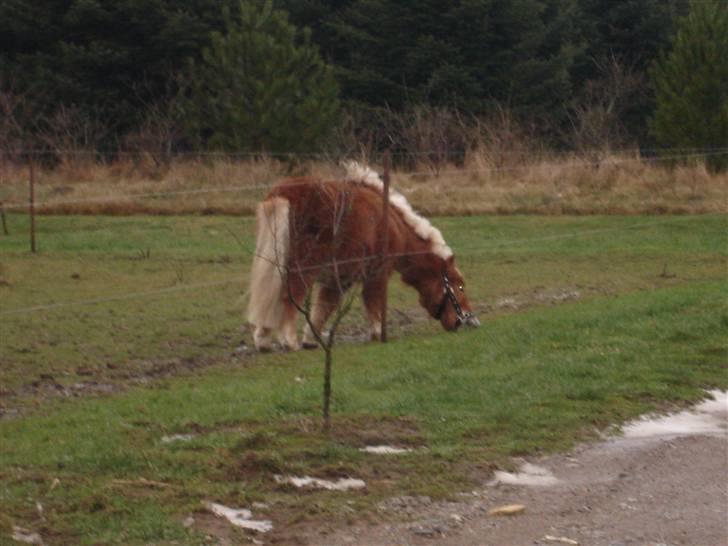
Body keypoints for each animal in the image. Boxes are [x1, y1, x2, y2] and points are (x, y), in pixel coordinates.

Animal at [247, 162, 480, 350]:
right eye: (460, 287)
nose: (470, 321)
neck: (393, 224)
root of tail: (284, 193)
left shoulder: (338, 280)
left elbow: (323, 308)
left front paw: (311, 340)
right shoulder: (376, 274)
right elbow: (373, 303)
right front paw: (377, 334)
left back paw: (264, 340)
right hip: (302, 268)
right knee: (290, 296)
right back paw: (288, 340)